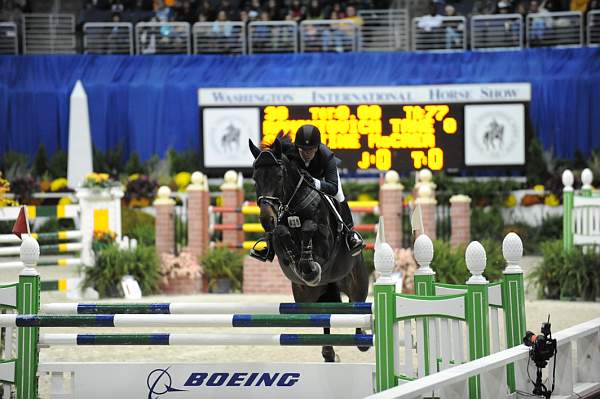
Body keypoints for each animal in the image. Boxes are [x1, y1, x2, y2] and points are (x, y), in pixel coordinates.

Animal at [248, 137, 370, 362]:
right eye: (254, 177)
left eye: (279, 176)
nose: (266, 220)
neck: (294, 207)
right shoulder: (280, 236)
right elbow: (282, 233)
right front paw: (296, 256)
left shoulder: (325, 241)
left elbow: (310, 228)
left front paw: (309, 264)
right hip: (307, 296)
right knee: (323, 316)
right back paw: (328, 352)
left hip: (356, 282)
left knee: (358, 307)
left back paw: (362, 341)